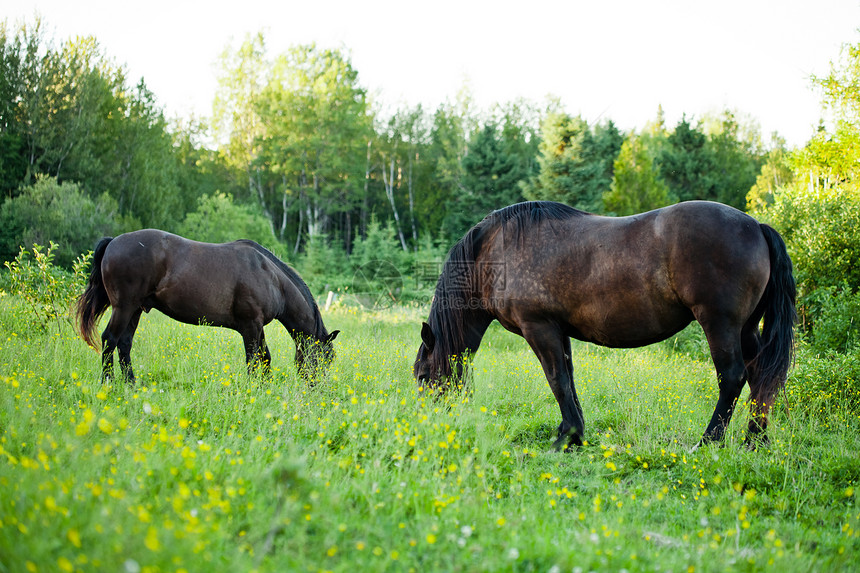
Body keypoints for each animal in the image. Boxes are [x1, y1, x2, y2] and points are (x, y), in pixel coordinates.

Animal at [75, 229, 340, 384]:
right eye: (324, 358)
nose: (320, 388)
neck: (271, 277)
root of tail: (113, 242)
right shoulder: (250, 326)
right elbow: (253, 359)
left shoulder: (258, 326)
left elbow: (265, 358)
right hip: (124, 307)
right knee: (109, 339)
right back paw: (108, 383)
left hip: (135, 310)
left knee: (124, 343)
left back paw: (131, 383)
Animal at [414, 201, 796, 452]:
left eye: (422, 376)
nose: (430, 426)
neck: (494, 253)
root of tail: (757, 227)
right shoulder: (559, 330)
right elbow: (568, 379)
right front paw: (575, 435)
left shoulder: (539, 328)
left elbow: (557, 380)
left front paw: (565, 438)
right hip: (746, 328)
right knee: (760, 376)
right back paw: (754, 441)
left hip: (720, 324)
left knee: (732, 377)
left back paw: (707, 442)